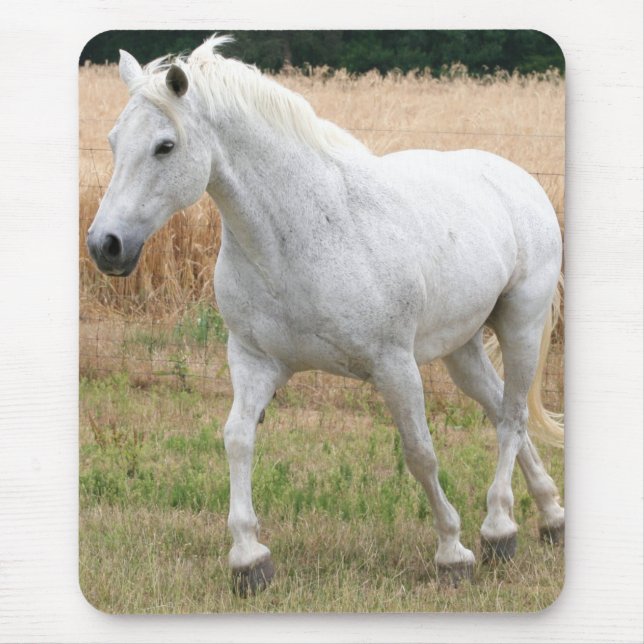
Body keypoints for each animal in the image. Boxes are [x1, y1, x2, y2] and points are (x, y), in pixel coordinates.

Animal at [86, 35, 565, 595]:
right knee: (500, 409)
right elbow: (237, 440)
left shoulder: (394, 365)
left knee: (512, 418)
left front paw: (452, 552)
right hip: (462, 349)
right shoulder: (253, 361)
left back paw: (498, 529)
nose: (105, 245)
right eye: (114, 142)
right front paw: (249, 559)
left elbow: (420, 453)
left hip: (521, 325)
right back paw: (549, 516)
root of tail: (519, 180)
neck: (300, 234)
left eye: (165, 146)